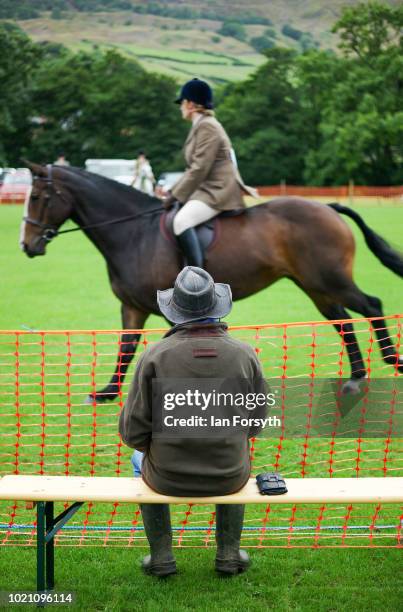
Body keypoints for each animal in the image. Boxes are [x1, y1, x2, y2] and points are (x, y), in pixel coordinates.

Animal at [20, 163, 403, 402]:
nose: (27, 246)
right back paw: (356, 377)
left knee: (370, 305)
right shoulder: (131, 306)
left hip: (330, 280)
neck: (134, 233)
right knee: (343, 321)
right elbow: (126, 346)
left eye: (37, 198)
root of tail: (328, 208)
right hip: (315, 285)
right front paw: (108, 393)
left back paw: (389, 362)